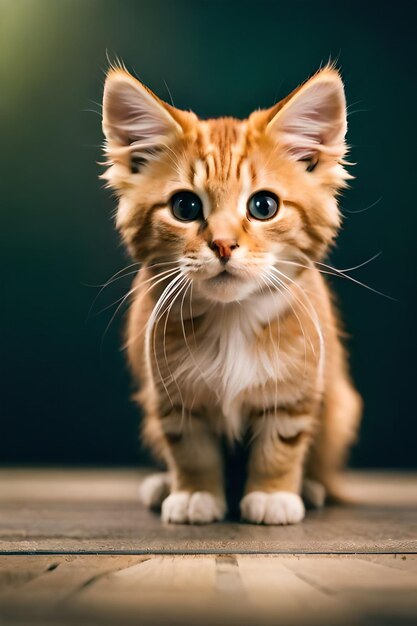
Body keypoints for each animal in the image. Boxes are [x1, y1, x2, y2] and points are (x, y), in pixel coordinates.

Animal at [101, 62, 360, 520]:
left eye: (263, 206)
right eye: (185, 207)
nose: (222, 245)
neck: (232, 318)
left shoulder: (297, 390)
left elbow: (281, 443)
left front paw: (273, 493)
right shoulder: (170, 394)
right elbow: (189, 447)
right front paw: (193, 492)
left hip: (342, 407)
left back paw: (312, 487)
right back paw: (162, 484)